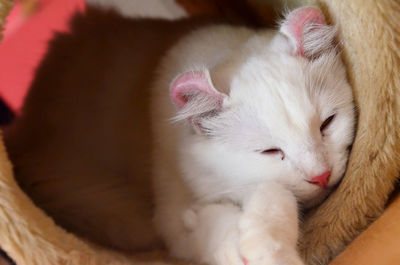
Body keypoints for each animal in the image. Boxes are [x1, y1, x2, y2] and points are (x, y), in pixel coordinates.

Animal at [152, 6, 354, 264]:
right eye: (270, 151)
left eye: (327, 123)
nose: (321, 176)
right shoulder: (173, 216)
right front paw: (255, 250)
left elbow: (271, 194)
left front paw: (267, 246)